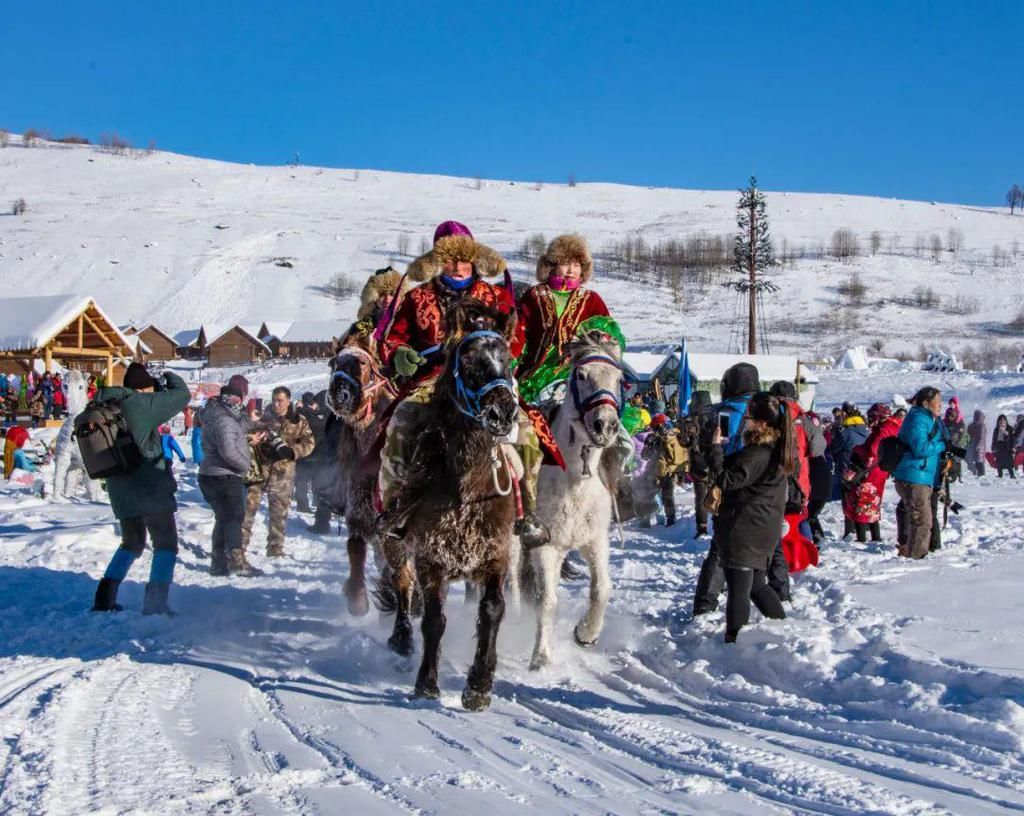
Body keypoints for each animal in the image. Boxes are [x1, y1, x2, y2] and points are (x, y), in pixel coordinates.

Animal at [51, 370, 102, 503]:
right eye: (65, 385)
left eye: (81, 387)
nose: (70, 409)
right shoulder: (63, 456)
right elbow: (58, 478)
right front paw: (55, 500)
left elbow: (91, 487)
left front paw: (93, 502)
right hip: (74, 466)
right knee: (69, 482)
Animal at [325, 329, 397, 610]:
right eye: (333, 364)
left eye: (363, 363)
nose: (339, 394)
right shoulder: (358, 514)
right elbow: (355, 548)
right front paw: (357, 599)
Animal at [376, 301, 520, 712]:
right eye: (468, 359)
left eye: (508, 359)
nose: (503, 412)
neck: (467, 490)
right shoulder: (431, 559)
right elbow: (434, 620)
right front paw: (426, 684)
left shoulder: (495, 555)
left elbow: (492, 611)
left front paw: (479, 685)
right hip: (393, 542)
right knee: (403, 586)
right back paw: (401, 639)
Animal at [528, 331, 622, 667]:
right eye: (581, 375)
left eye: (619, 379)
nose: (605, 425)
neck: (575, 481)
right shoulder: (545, 545)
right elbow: (547, 599)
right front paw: (541, 655)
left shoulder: (595, 541)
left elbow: (602, 589)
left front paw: (586, 633)